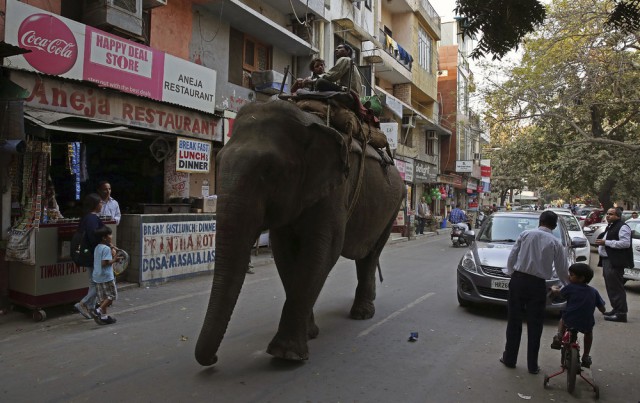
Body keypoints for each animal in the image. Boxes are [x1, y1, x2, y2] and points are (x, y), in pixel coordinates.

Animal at [195, 99, 404, 368]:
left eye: (270, 171)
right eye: (218, 161)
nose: (213, 359)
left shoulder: (336, 188)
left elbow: (323, 250)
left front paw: (286, 355)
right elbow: (284, 252)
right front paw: (310, 333)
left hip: (394, 206)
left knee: (371, 253)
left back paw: (362, 314)